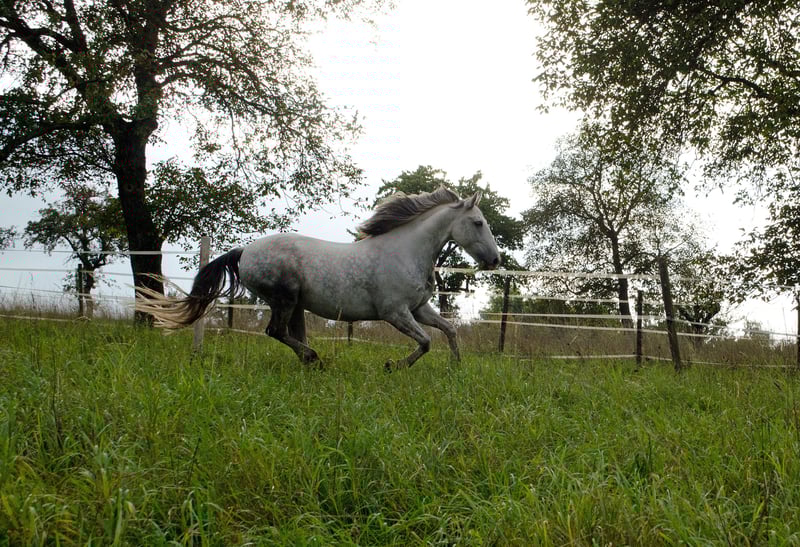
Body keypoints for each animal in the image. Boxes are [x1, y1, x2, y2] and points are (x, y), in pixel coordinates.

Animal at [135, 186, 501, 370]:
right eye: (479, 223)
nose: (495, 260)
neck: (406, 251)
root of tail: (244, 251)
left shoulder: (419, 309)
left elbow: (449, 330)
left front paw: (456, 367)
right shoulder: (395, 312)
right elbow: (425, 342)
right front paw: (392, 365)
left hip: (295, 304)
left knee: (289, 335)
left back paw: (311, 363)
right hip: (284, 299)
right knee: (276, 332)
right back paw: (314, 359)